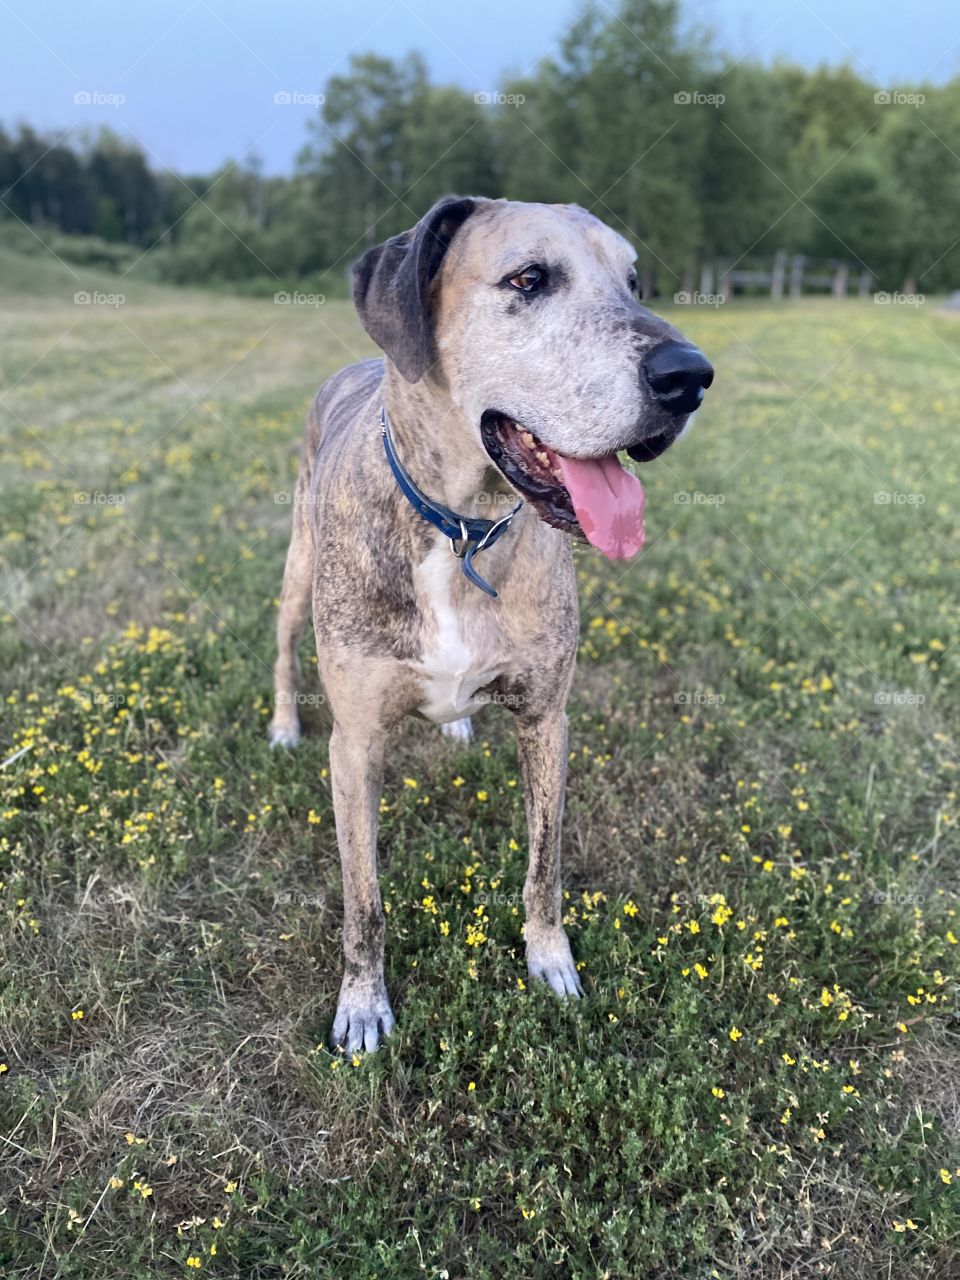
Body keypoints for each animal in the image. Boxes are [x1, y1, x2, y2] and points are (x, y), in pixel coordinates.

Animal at [268, 192, 716, 1049]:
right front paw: (363, 1004)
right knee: (280, 648)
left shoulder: (547, 718)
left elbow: (544, 867)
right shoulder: (355, 744)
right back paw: (280, 724)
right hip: (297, 572)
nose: (691, 377)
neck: (461, 529)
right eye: (529, 278)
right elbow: (363, 902)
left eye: (634, 280)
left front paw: (550, 963)